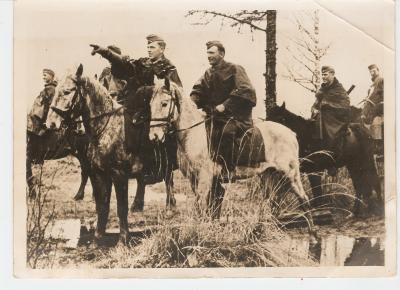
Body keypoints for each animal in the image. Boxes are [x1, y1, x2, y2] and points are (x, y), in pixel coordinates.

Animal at [148, 78, 318, 238]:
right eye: (150, 105)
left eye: (164, 104)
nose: (154, 136)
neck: (193, 133)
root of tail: (291, 133)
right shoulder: (193, 179)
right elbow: (205, 207)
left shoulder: (204, 178)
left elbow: (201, 206)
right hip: (267, 174)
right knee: (272, 201)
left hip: (291, 174)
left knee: (304, 199)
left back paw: (312, 232)